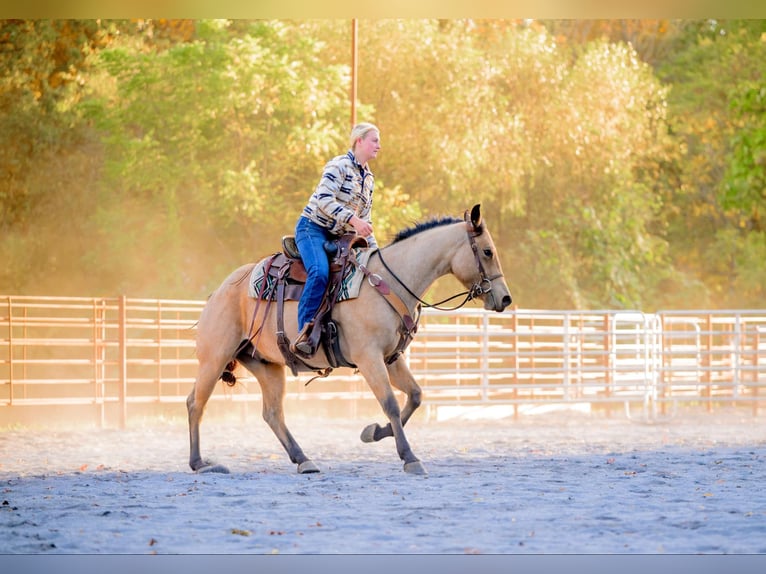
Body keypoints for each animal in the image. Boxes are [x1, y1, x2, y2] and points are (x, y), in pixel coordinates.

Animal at [187, 206, 512, 476]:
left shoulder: (391, 358)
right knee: (195, 403)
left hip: (267, 365)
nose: (505, 298)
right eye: (487, 251)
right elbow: (391, 403)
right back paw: (201, 464)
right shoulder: (369, 358)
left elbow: (415, 396)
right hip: (215, 357)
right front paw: (409, 458)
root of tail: (219, 291)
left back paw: (304, 460)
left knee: (272, 414)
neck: (390, 282)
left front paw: (375, 432)